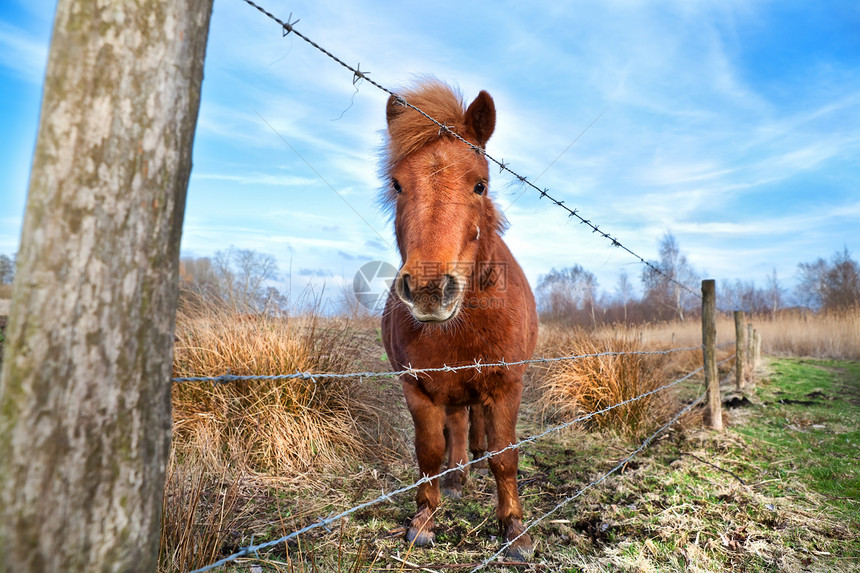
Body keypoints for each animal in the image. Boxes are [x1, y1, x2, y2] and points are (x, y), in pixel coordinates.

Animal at [382, 81, 536, 560]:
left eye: (480, 185)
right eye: (396, 184)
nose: (430, 289)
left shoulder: (506, 385)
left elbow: (505, 457)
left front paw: (515, 531)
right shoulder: (417, 387)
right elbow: (430, 453)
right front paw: (423, 521)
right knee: (456, 428)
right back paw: (456, 478)